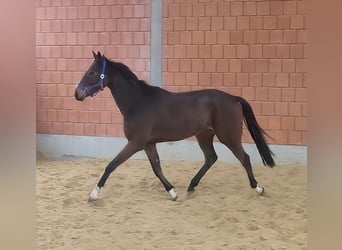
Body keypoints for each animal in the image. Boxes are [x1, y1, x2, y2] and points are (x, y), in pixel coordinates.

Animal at [75, 50, 276, 201]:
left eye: (92, 72)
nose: (77, 93)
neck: (138, 102)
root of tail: (233, 98)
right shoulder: (149, 144)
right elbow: (157, 169)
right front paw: (172, 192)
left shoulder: (135, 143)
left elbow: (112, 165)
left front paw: (93, 194)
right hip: (204, 135)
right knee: (211, 158)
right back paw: (191, 186)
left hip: (229, 136)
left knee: (244, 158)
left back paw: (258, 188)